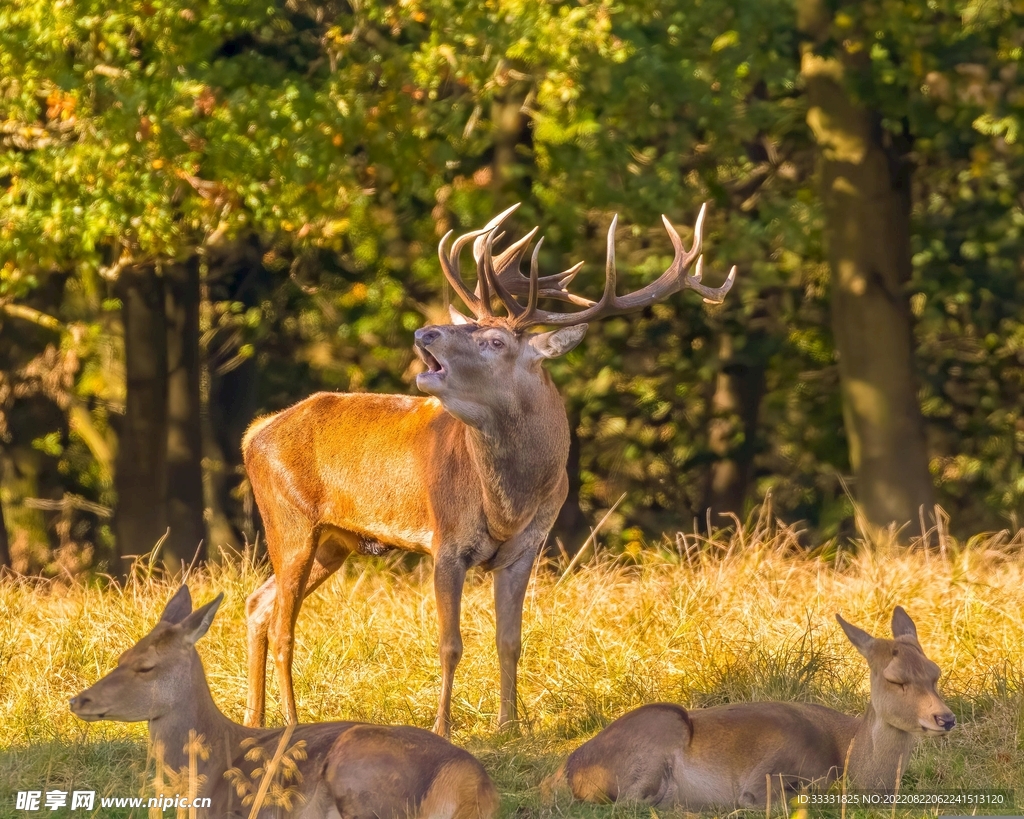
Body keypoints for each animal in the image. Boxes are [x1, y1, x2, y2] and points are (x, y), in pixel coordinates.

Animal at [241, 203, 737, 737]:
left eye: (495, 340)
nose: (425, 332)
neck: (509, 501)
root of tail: (255, 433)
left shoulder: (527, 548)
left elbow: (510, 640)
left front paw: (510, 725)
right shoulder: (447, 540)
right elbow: (449, 644)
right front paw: (442, 727)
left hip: (335, 539)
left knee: (259, 604)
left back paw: (254, 718)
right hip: (290, 519)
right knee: (284, 624)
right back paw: (292, 723)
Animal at [544, 607, 956, 811]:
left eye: (935, 673)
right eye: (895, 679)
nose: (946, 718)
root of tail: (562, 773)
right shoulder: (766, 774)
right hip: (660, 726)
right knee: (630, 804)